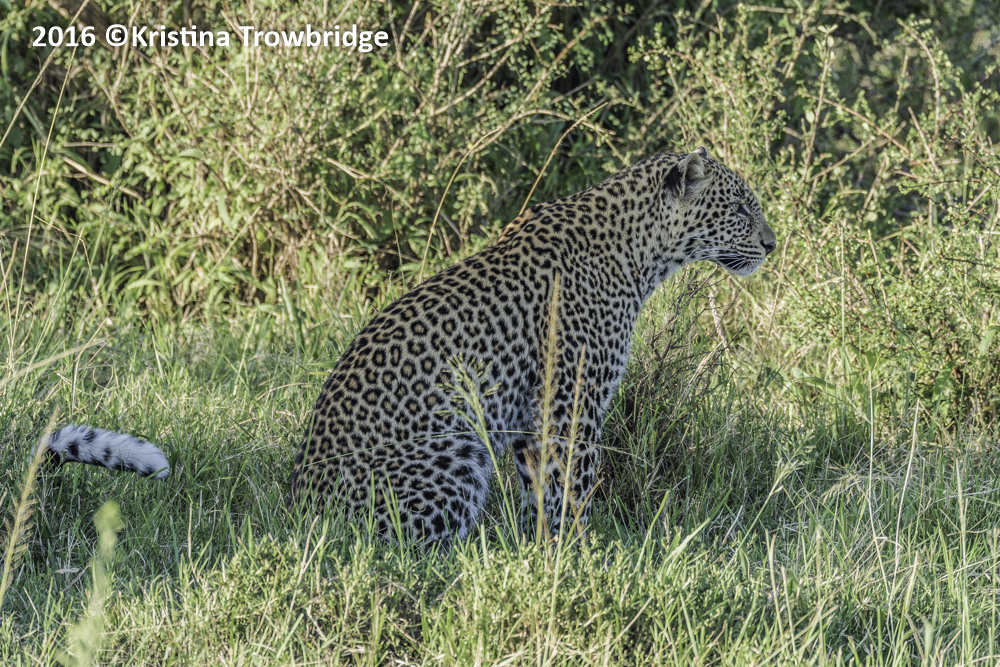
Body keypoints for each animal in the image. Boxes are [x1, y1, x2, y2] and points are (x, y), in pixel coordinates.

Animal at [47, 147, 776, 542]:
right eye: (741, 208)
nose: (774, 244)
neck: (643, 253)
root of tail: (293, 510)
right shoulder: (569, 407)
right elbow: (570, 492)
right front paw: (584, 559)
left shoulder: (529, 422)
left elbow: (539, 499)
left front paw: (541, 555)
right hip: (452, 448)